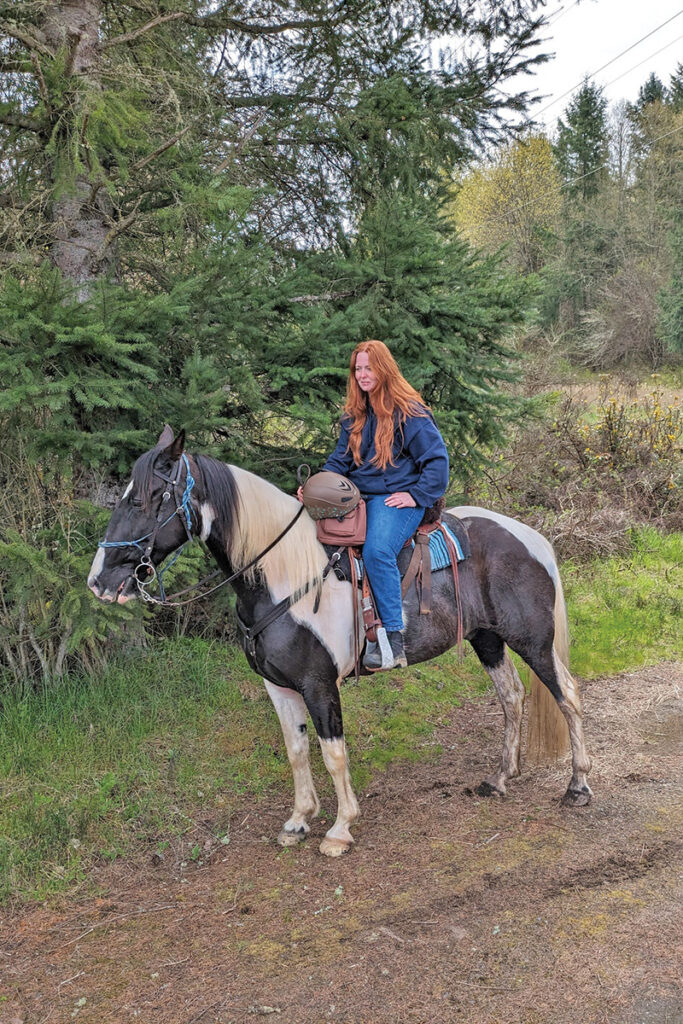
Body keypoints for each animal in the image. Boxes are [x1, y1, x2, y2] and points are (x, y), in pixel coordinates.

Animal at [88, 427, 592, 857]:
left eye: (147, 498)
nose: (99, 581)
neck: (283, 577)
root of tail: (530, 537)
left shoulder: (318, 683)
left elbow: (332, 753)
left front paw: (340, 828)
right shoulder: (279, 686)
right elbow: (296, 750)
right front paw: (298, 821)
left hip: (533, 641)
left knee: (566, 694)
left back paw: (578, 787)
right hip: (487, 639)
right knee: (512, 696)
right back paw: (500, 778)